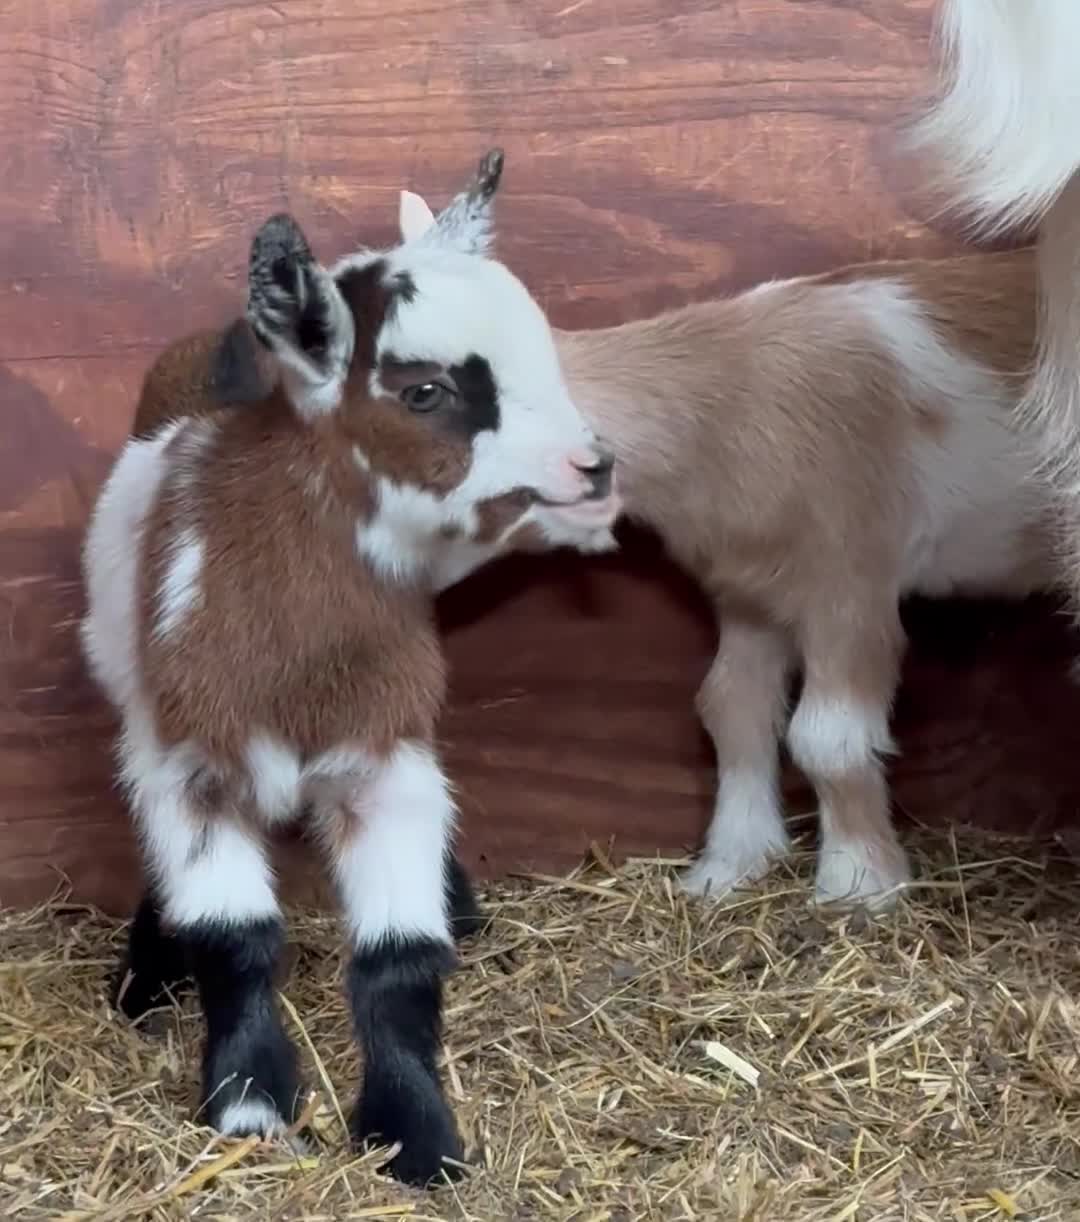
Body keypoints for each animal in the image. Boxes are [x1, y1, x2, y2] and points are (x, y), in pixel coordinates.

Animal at [80, 150, 620, 1186]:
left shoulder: (386, 756)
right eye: (425, 391)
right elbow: (237, 939)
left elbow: (400, 959)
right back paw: (146, 975)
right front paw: (249, 1102)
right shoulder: (193, 764)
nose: (596, 468)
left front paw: (417, 1133)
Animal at [399, 190, 1057, 910]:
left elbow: (829, 737)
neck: (731, 398)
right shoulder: (751, 590)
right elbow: (732, 709)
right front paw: (729, 865)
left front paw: (857, 884)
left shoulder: (848, 581)